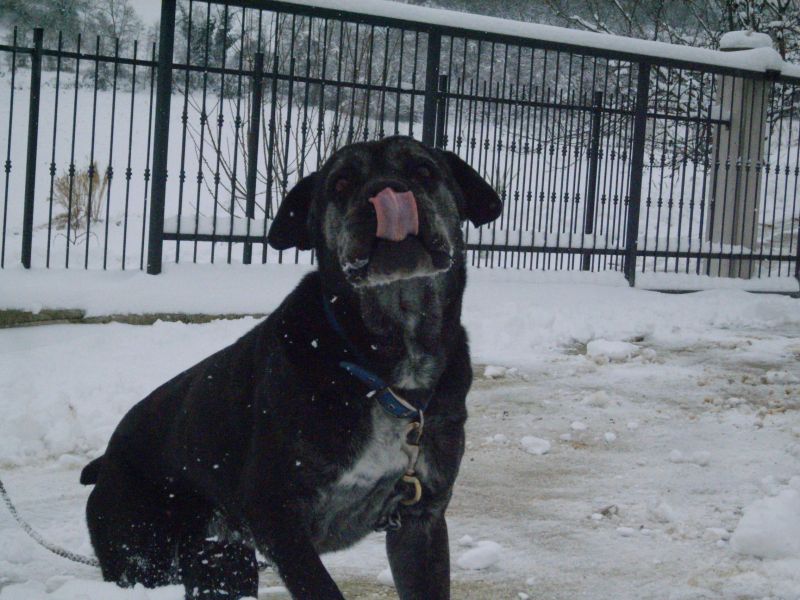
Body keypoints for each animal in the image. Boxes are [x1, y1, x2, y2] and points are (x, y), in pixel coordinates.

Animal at [79, 137, 500, 600]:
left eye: (424, 170)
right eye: (341, 183)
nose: (386, 191)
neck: (380, 368)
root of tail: (106, 460)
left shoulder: (420, 520)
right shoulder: (276, 515)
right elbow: (322, 588)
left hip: (221, 563)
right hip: (142, 553)